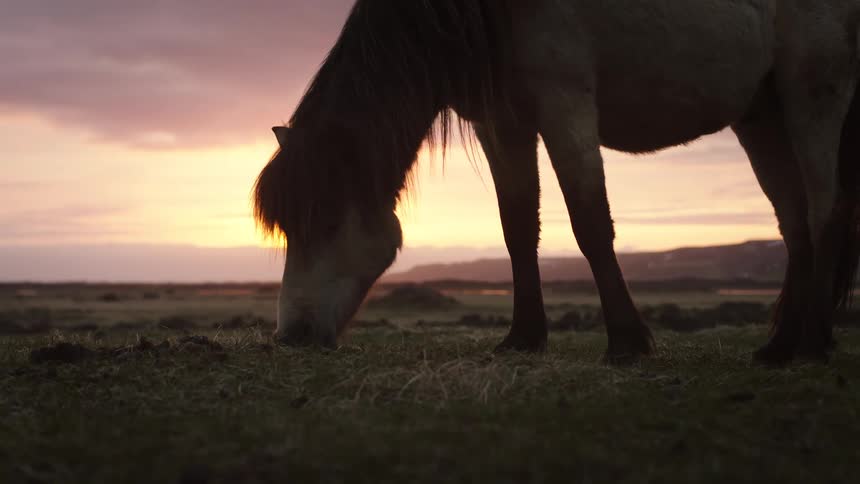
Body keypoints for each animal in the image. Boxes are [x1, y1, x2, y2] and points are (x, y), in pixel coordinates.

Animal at [255, 0, 860, 364]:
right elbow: (518, 229)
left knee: (825, 211)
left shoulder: (565, 102)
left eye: (326, 223)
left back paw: (813, 342)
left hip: (812, 93)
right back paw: (780, 346)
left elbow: (590, 223)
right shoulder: (502, 122)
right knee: (794, 223)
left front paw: (627, 342)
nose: (291, 335)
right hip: (761, 114)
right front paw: (523, 338)